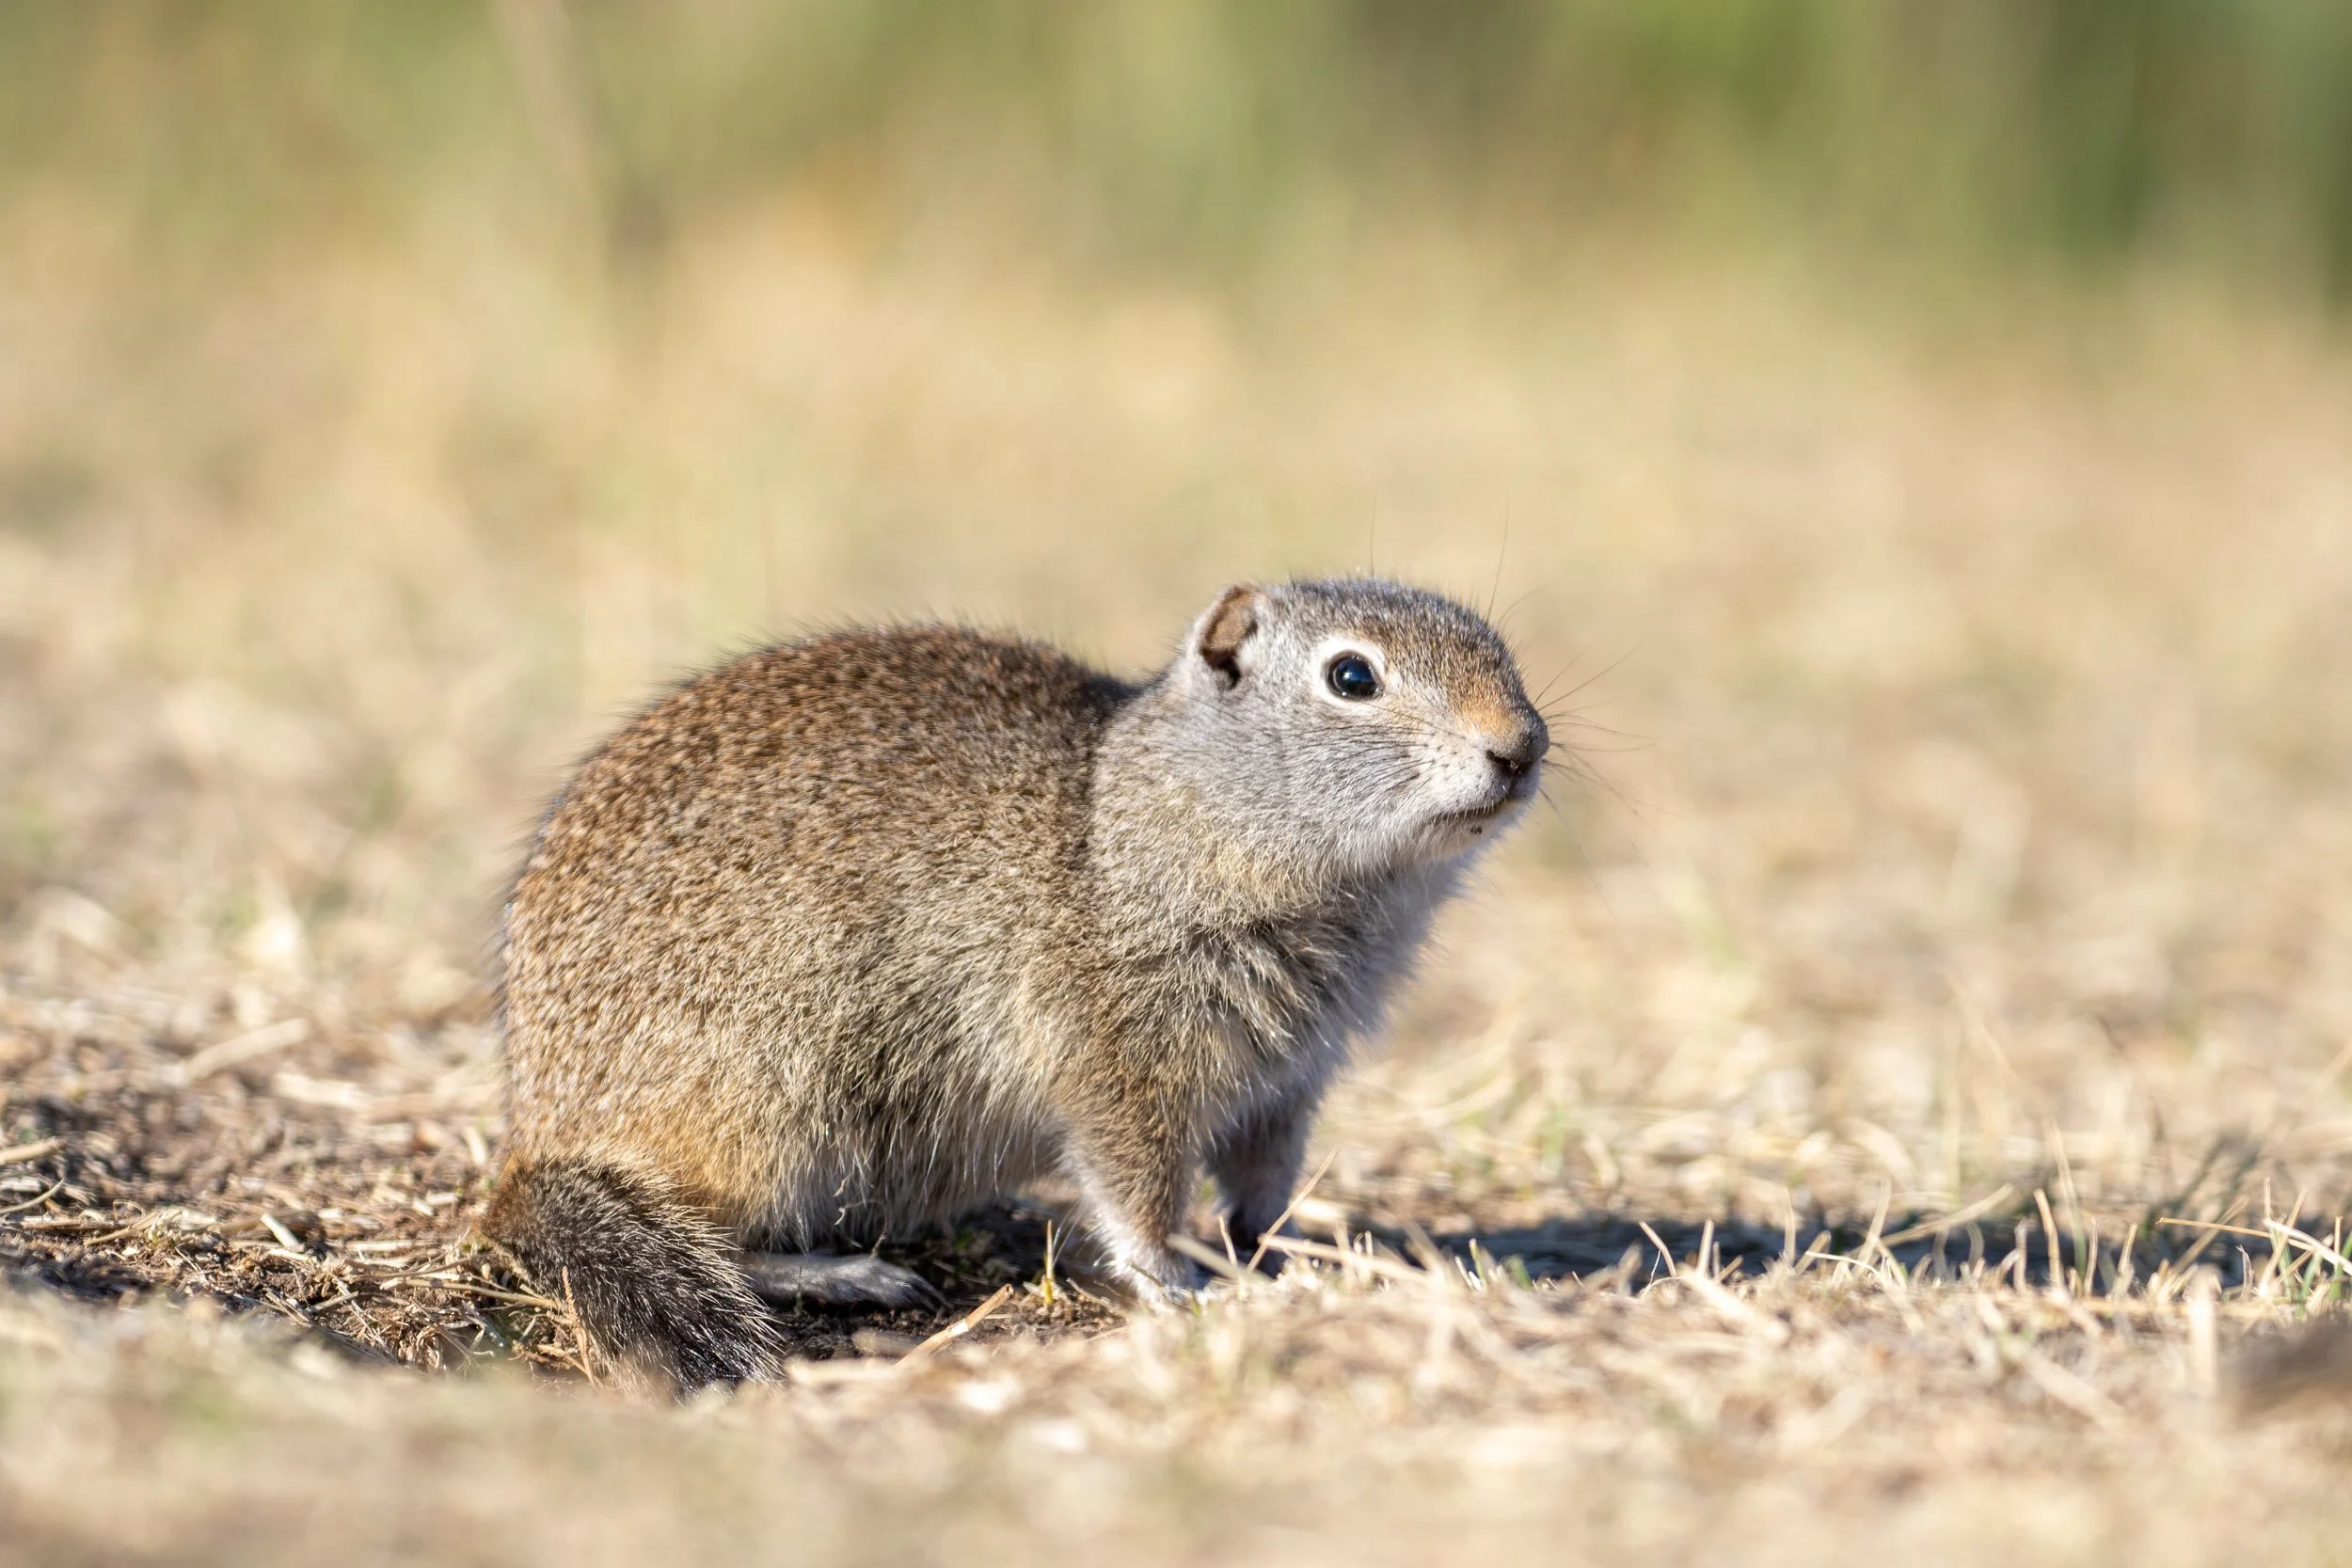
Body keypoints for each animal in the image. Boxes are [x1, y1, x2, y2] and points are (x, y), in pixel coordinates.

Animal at [483, 577, 1549, 1387]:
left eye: (1501, 652)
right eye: (1352, 675)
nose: (1523, 745)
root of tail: (539, 1132)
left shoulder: (1288, 1080)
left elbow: (1262, 1185)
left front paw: (1276, 1263)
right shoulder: (1120, 1059)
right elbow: (1136, 1189)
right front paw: (1177, 1284)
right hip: (778, 1112)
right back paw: (850, 1273)